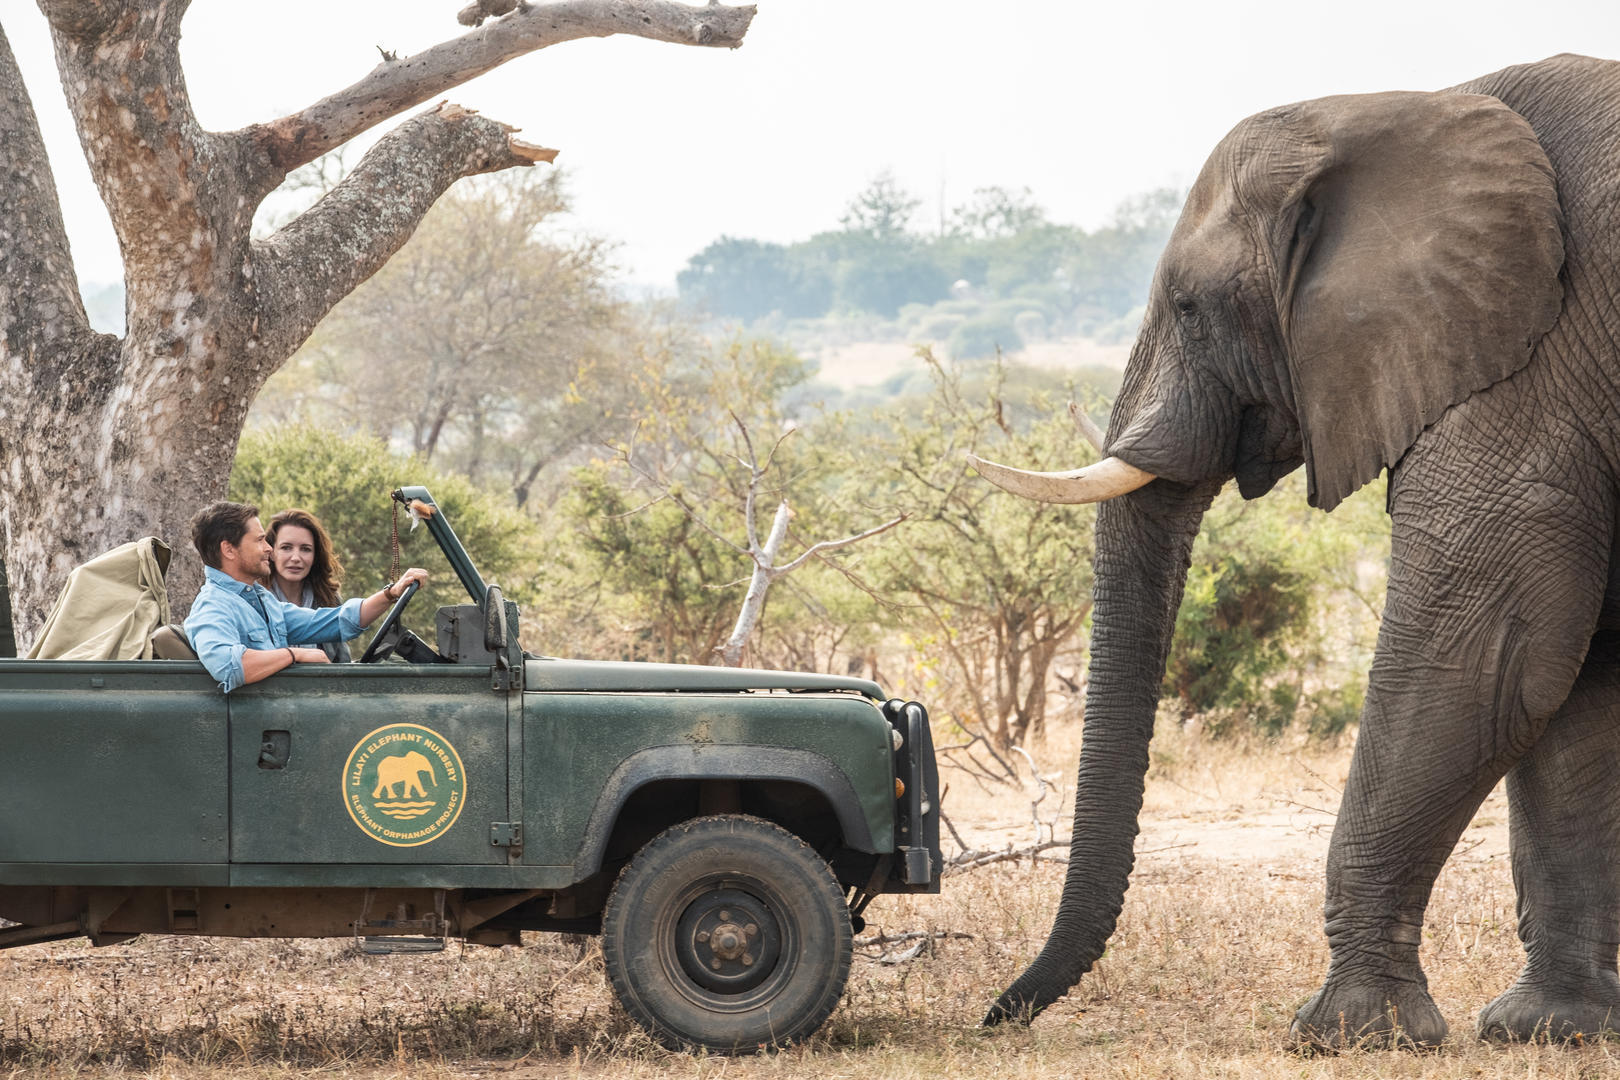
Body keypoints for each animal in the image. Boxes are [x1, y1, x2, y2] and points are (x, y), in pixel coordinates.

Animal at [972, 52, 1620, 1049]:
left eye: (1190, 309)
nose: (993, 1019)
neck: (1402, 109)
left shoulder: (1533, 364)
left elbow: (1490, 657)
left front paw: (1346, 1032)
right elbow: (1568, 686)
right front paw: (1547, 1029)